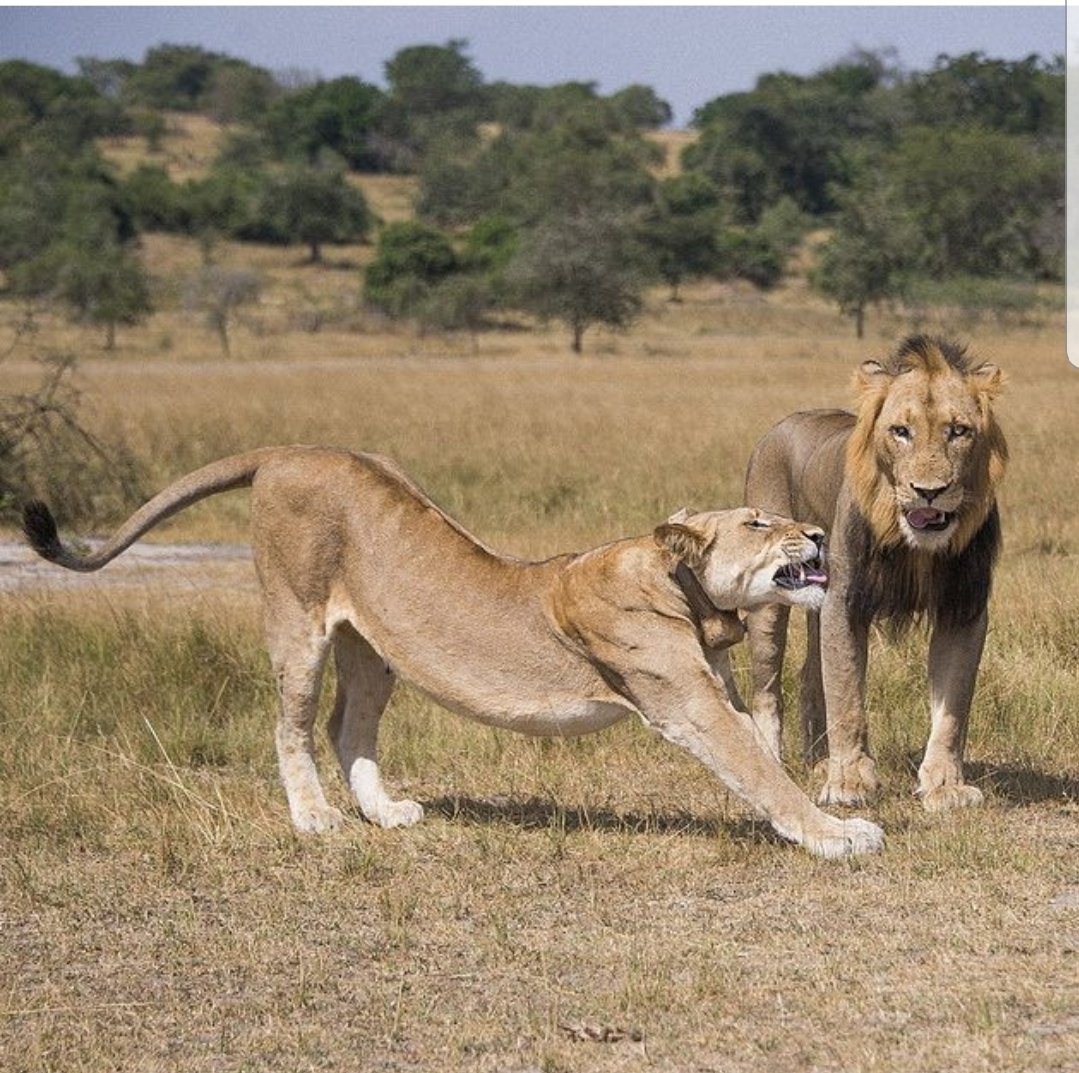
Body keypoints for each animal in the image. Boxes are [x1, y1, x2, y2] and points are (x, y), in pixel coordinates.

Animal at [23, 446, 883, 857]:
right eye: (758, 522)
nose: (815, 533)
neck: (694, 599)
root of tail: (290, 450)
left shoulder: (716, 688)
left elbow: (762, 753)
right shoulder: (687, 703)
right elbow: (758, 771)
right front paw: (835, 835)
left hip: (374, 646)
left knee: (347, 726)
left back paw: (384, 811)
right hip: (298, 620)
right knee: (291, 725)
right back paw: (315, 817)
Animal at [742, 335, 1007, 810]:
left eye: (958, 431)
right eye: (900, 432)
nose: (929, 492)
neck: (917, 547)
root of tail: (785, 422)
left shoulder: (963, 609)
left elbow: (953, 708)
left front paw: (945, 786)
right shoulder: (845, 603)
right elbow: (848, 696)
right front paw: (850, 783)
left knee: (811, 676)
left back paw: (818, 762)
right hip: (770, 603)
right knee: (767, 683)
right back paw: (774, 760)